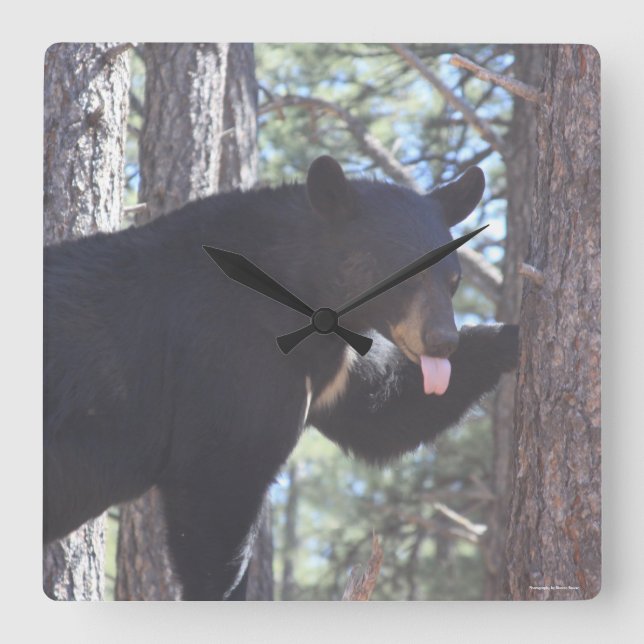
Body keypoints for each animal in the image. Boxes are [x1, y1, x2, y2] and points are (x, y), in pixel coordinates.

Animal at [44, 155, 518, 600]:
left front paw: (510, 335)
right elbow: (219, 479)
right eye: (402, 274)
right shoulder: (228, 356)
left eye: (453, 279)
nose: (442, 342)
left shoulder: (333, 367)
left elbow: (379, 412)